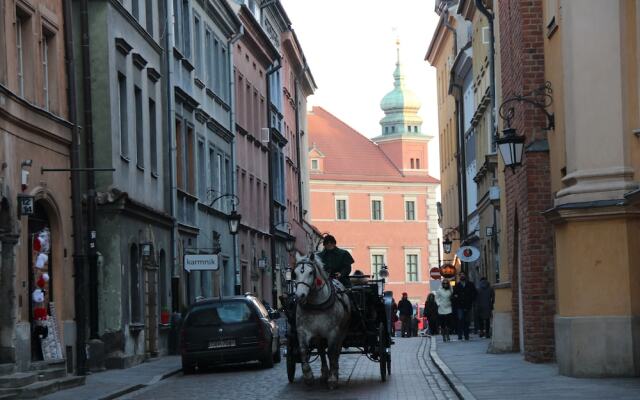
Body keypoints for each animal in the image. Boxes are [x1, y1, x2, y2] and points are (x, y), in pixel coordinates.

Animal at [294, 253, 350, 388]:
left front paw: (333, 378)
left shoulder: (333, 332)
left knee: (336, 351)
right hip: (318, 335)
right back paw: (324, 373)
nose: (299, 296)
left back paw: (334, 371)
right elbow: (303, 351)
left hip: (342, 331)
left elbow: (332, 352)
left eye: (310, 272)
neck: (317, 306)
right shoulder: (302, 330)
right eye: (295, 273)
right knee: (321, 351)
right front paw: (308, 376)